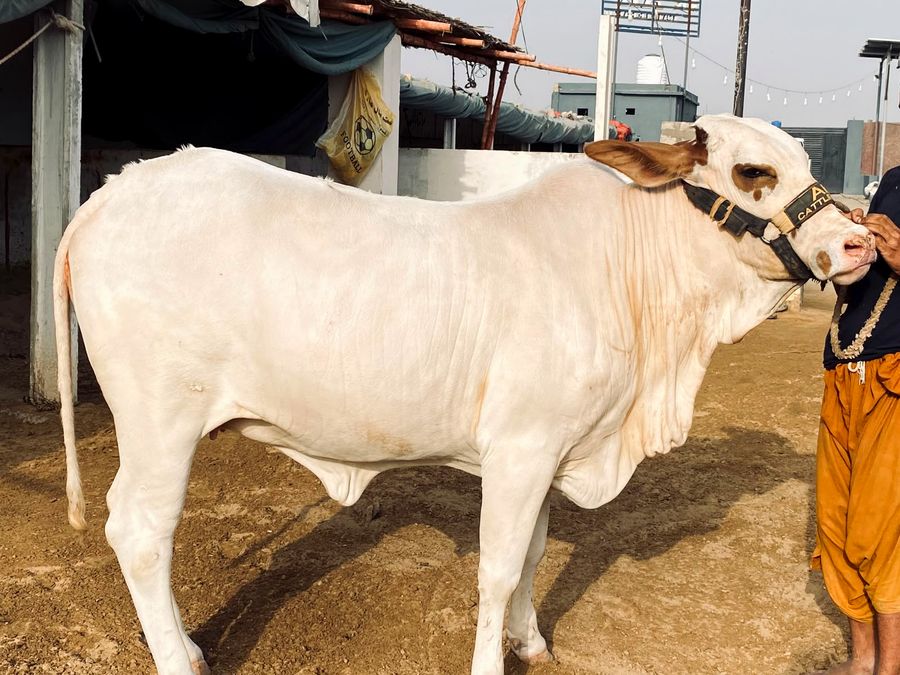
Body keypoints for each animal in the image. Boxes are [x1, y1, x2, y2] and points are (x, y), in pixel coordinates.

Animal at [53, 114, 875, 675]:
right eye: (753, 171)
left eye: (805, 160)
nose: (860, 242)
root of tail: (109, 194)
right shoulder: (520, 449)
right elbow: (499, 567)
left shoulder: (550, 451)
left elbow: (535, 553)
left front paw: (530, 640)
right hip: (160, 422)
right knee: (140, 532)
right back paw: (178, 657)